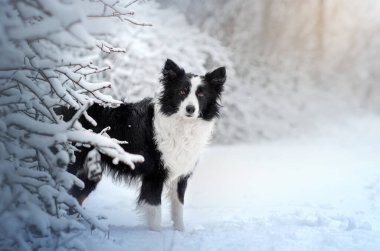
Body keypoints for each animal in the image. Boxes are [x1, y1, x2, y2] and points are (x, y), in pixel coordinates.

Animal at [65, 59, 226, 231]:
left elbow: (178, 210)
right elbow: (155, 216)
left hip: (89, 174)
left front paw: (180, 233)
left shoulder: (180, 176)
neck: (182, 125)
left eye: (201, 94)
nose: (190, 109)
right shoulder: (154, 176)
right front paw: (156, 235)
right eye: (182, 92)